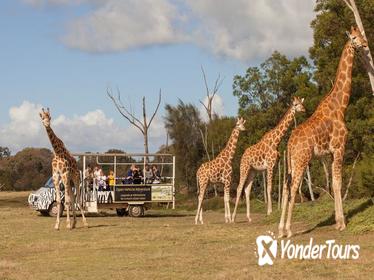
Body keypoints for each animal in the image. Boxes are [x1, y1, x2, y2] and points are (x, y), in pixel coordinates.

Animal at [278, 27, 368, 238]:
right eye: (354, 37)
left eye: (361, 34)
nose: (366, 44)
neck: (341, 106)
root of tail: (290, 143)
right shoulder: (339, 147)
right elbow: (338, 183)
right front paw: (342, 224)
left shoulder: (329, 153)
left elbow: (333, 183)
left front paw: (337, 222)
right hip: (302, 160)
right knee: (294, 188)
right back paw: (288, 230)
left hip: (291, 163)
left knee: (286, 187)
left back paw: (280, 230)